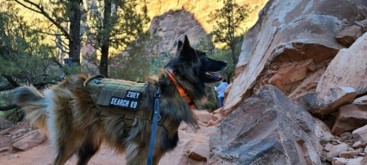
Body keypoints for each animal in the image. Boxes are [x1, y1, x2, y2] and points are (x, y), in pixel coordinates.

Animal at [12, 36, 227, 165]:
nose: (225, 62)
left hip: (89, 145)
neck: (176, 87)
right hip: (71, 141)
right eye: (205, 57)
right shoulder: (141, 151)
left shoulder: (154, 152)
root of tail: (63, 84)